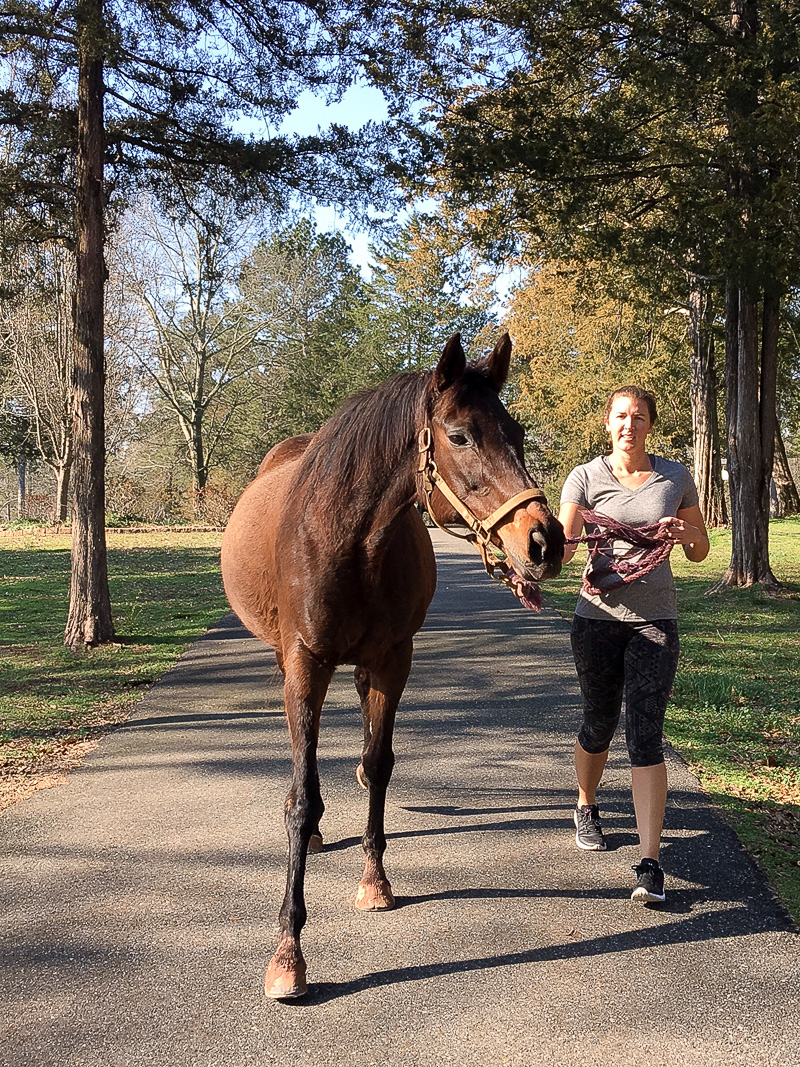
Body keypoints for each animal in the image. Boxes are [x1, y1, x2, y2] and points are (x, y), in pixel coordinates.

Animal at [222, 330, 567, 998]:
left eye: (515, 431)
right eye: (459, 436)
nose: (545, 541)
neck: (349, 541)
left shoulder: (392, 660)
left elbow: (381, 765)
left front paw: (375, 879)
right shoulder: (305, 664)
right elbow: (300, 797)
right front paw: (288, 953)